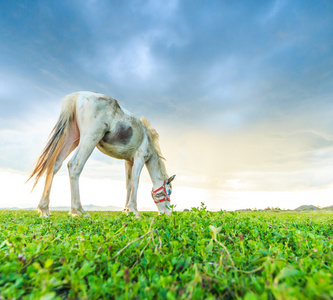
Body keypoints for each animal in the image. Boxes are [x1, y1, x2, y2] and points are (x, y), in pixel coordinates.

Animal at [27, 90, 176, 217]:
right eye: (169, 191)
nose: (167, 214)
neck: (147, 138)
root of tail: (77, 96)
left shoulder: (129, 161)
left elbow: (128, 185)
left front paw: (126, 210)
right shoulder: (140, 158)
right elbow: (135, 181)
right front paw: (134, 211)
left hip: (71, 138)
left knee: (54, 164)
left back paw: (44, 210)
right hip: (89, 138)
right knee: (75, 165)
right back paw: (78, 210)